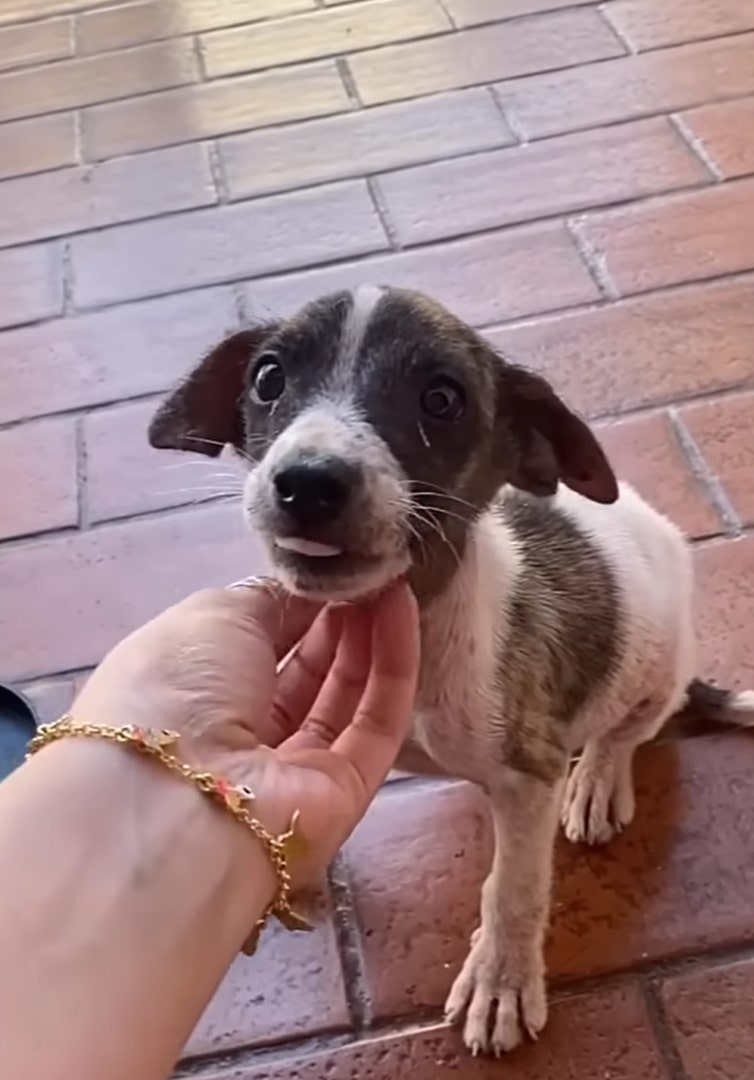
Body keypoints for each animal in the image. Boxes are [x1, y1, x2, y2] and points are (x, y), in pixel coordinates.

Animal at [147, 285, 751, 1054]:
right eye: (268, 380)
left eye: (442, 399)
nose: (306, 483)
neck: (415, 619)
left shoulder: (527, 778)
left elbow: (512, 891)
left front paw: (501, 981)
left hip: (660, 668)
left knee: (624, 734)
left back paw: (597, 780)